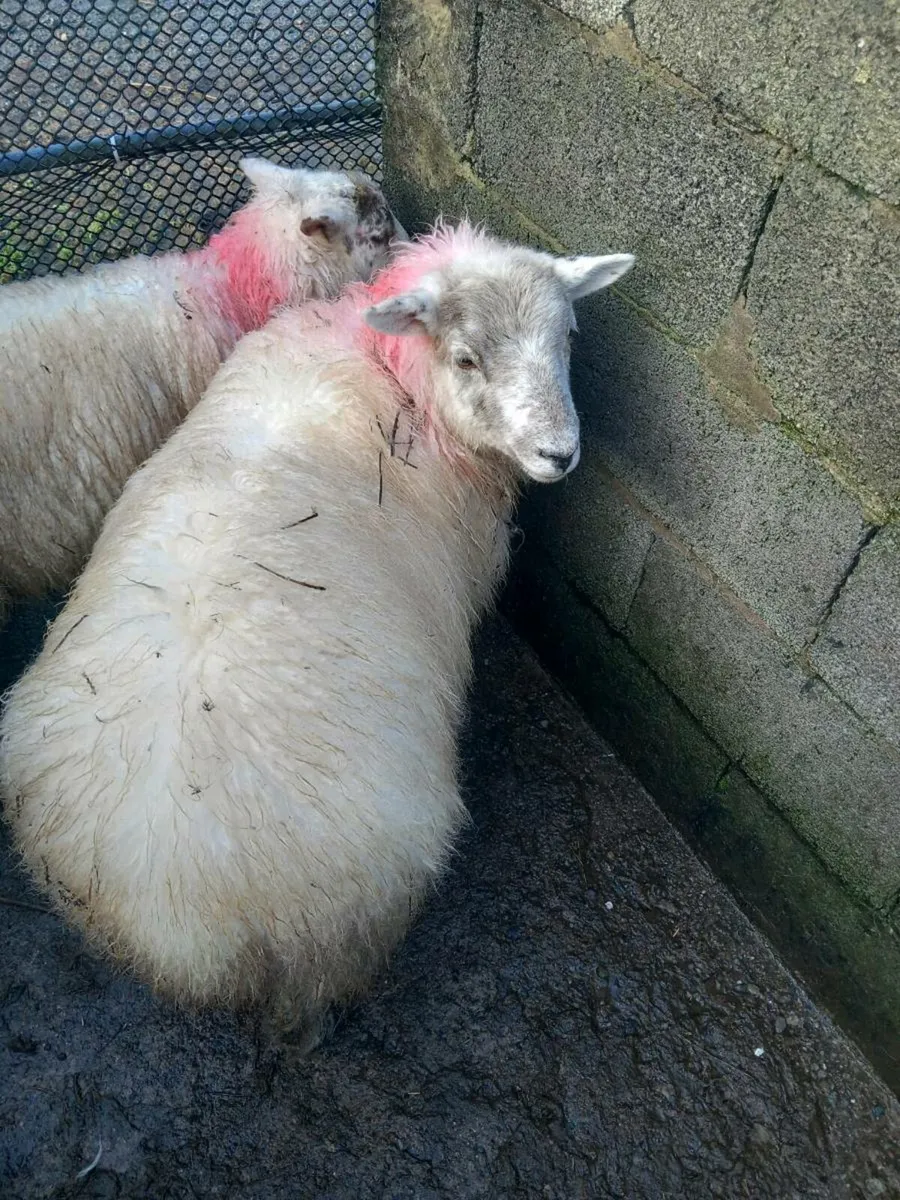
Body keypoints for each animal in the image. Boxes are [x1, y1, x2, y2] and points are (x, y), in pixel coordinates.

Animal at [0, 222, 634, 1047]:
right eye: (467, 357)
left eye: (568, 337)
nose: (560, 454)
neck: (388, 364)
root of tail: (177, 910)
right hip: (335, 942)